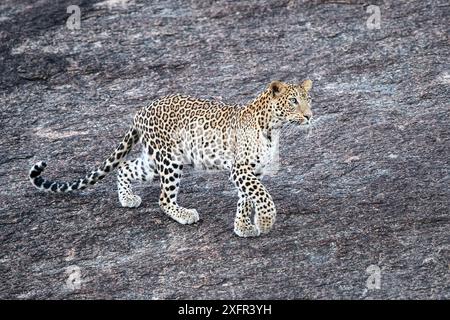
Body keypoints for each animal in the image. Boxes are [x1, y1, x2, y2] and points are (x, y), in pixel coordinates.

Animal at [29, 79, 312, 236]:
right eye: (293, 101)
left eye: (308, 99)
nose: (310, 115)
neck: (274, 126)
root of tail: (141, 111)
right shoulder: (241, 169)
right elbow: (263, 197)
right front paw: (265, 222)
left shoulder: (251, 172)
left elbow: (247, 199)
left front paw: (243, 227)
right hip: (169, 160)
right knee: (163, 198)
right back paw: (184, 214)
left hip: (153, 161)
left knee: (125, 167)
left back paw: (127, 199)